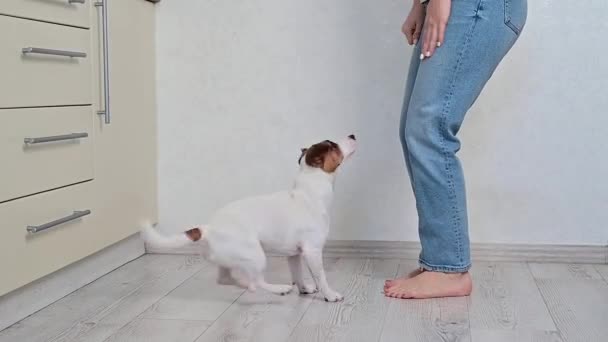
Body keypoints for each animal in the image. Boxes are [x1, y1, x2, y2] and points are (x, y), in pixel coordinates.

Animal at [142, 135, 356, 300]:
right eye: (333, 145)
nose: (352, 135)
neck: (309, 193)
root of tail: (209, 228)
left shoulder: (294, 254)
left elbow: (298, 274)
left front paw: (304, 289)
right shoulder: (312, 251)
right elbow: (321, 277)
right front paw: (330, 295)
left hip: (229, 259)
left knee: (226, 279)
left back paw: (244, 285)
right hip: (256, 255)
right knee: (258, 280)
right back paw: (278, 288)